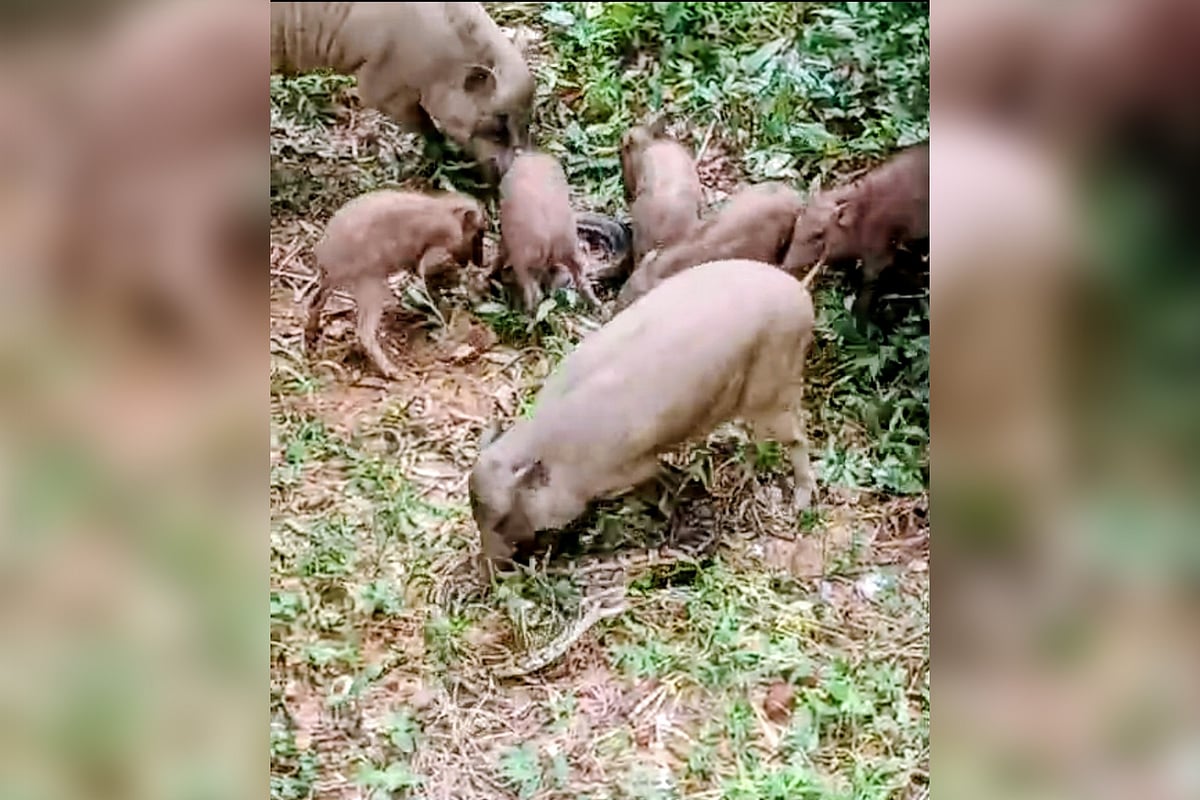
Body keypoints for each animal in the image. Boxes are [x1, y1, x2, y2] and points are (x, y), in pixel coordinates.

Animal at [305, 189, 486, 379]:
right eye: (479, 233)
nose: (480, 262)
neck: (447, 211)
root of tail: (325, 256)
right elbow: (428, 272)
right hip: (369, 283)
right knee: (364, 332)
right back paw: (389, 369)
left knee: (315, 302)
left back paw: (311, 334)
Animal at [469, 258, 817, 580]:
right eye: (476, 516)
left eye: (502, 520)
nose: (487, 577)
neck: (561, 457)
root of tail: (801, 293)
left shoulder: (633, 466)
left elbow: (657, 482)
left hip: (778, 387)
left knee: (798, 438)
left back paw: (799, 503)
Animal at [497, 151, 600, 312]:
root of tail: (550, 241)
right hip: (570, 248)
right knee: (581, 277)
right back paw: (599, 308)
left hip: (523, 257)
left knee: (533, 292)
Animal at [781, 142, 929, 325]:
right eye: (798, 221)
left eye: (819, 235)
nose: (784, 266)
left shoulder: (878, 251)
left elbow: (869, 281)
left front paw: (859, 318)